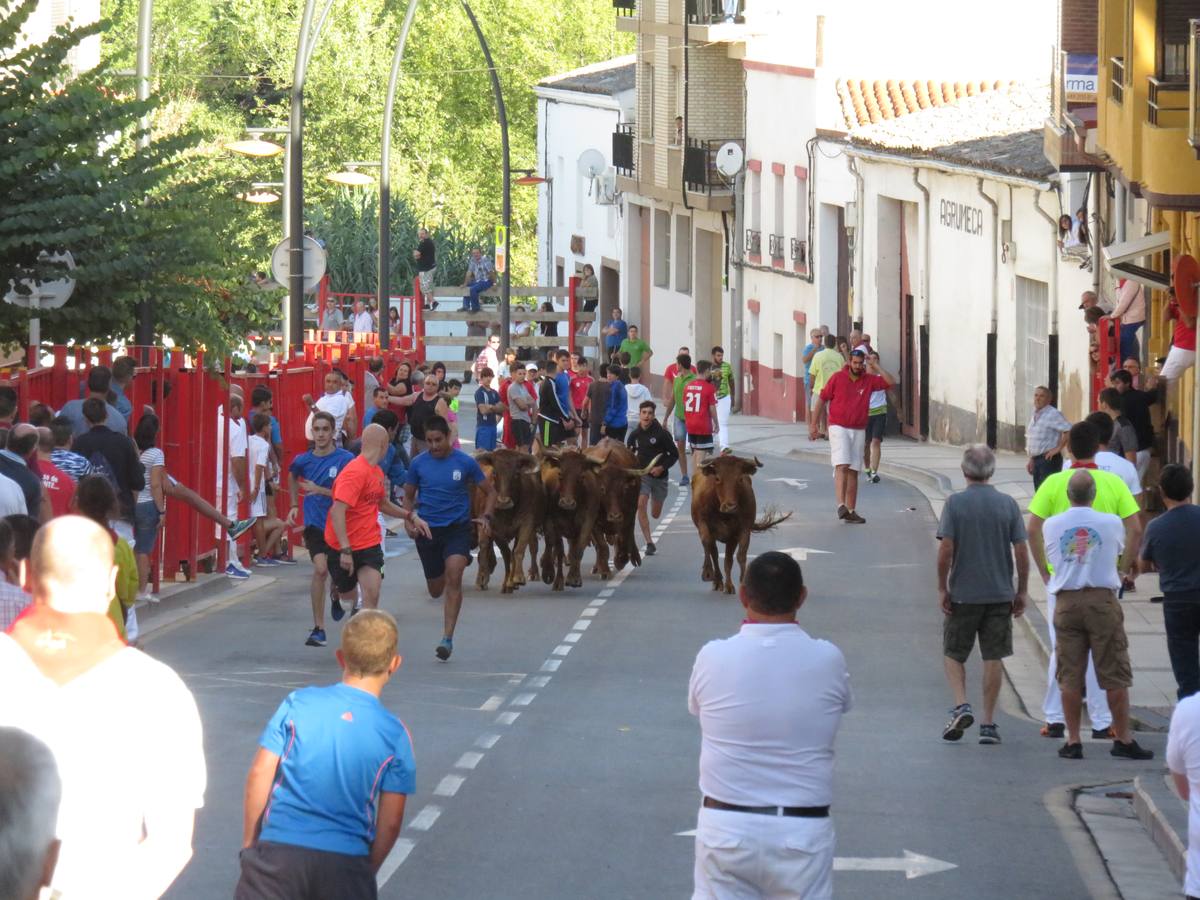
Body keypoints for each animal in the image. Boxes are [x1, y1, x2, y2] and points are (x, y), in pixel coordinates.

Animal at [472, 448, 544, 592]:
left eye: (516, 474)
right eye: (495, 472)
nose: (503, 501)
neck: (508, 513)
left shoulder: (527, 524)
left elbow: (518, 550)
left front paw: (517, 578)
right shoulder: (494, 530)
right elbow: (506, 553)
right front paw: (507, 583)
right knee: (485, 548)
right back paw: (483, 577)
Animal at [540, 448, 604, 592]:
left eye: (581, 477)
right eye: (560, 474)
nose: (567, 503)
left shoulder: (587, 524)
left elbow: (578, 550)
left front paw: (574, 578)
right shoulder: (554, 524)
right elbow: (559, 550)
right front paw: (557, 580)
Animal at [585, 441, 662, 580]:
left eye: (624, 488)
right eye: (602, 489)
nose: (615, 516)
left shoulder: (629, 516)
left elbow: (624, 538)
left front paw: (621, 560)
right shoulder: (592, 523)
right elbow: (602, 546)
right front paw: (604, 571)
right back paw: (597, 567)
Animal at [691, 453, 792, 595]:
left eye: (739, 479)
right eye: (717, 478)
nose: (730, 506)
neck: (724, 514)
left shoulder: (741, 531)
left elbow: (739, 556)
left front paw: (738, 583)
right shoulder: (703, 524)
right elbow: (707, 544)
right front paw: (708, 573)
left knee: (726, 558)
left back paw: (725, 584)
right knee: (714, 553)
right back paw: (717, 581)